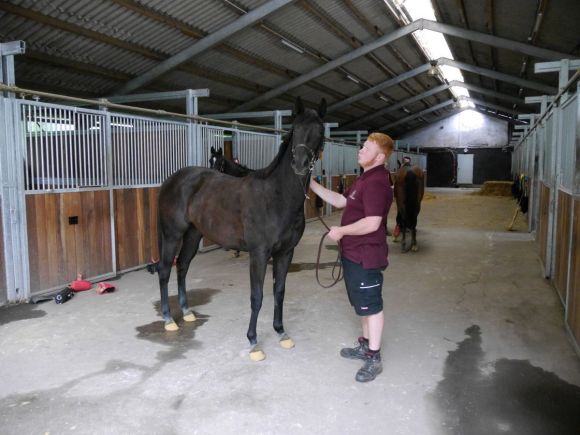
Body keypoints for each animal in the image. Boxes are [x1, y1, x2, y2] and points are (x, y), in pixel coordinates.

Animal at [156, 98, 326, 362]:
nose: (299, 164)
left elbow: (279, 291)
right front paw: (253, 342)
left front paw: (281, 332)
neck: (277, 196)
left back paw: (186, 312)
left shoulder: (286, 253)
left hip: (193, 235)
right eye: (295, 129)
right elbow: (257, 296)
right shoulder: (259, 254)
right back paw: (168, 320)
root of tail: (173, 180)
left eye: (319, 130)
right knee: (164, 271)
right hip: (172, 235)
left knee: (182, 267)